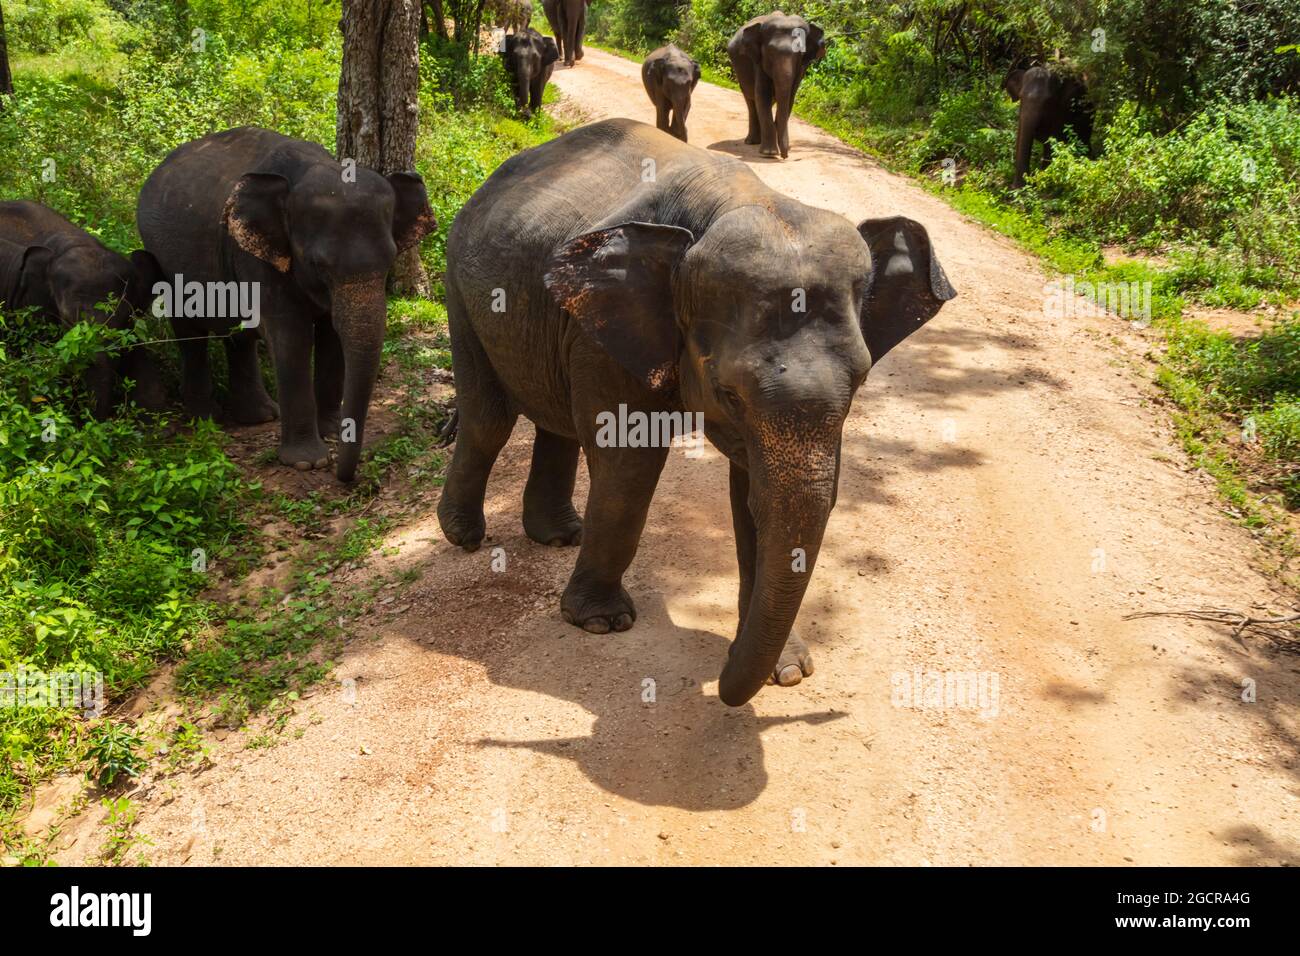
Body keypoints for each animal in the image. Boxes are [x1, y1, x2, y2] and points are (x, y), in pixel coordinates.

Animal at [139, 127, 436, 481]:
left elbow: (331, 336)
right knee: (190, 332)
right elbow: (291, 337)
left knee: (238, 336)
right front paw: (308, 461)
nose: (345, 476)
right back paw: (206, 420)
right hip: (163, 259)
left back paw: (261, 416)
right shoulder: (257, 255)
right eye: (319, 265)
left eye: (390, 259)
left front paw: (332, 431)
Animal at [436, 117, 956, 702]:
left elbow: (751, 492)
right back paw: (465, 536)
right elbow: (629, 464)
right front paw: (601, 623)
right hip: (458, 285)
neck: (742, 200)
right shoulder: (606, 334)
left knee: (554, 421)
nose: (723, 687)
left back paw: (559, 536)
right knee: (489, 419)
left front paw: (787, 670)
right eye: (729, 393)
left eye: (862, 380)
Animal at [728, 11, 826, 158]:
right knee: (751, 100)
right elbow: (763, 95)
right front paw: (769, 153)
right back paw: (752, 142)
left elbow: (790, 98)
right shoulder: (758, 61)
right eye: (771, 51)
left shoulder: (802, 68)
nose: (785, 156)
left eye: (800, 53)